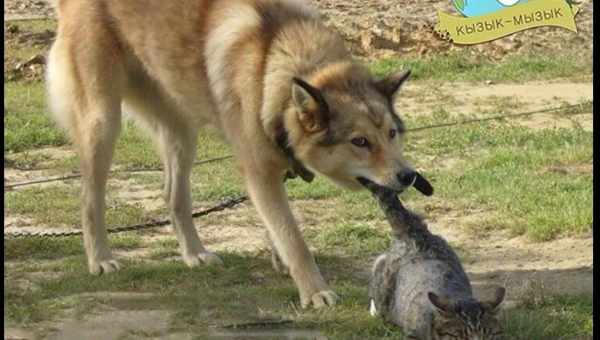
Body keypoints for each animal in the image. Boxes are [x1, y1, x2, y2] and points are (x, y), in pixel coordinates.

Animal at [47, 0, 420, 308]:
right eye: (360, 142)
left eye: (391, 134)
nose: (408, 175)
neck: (276, 63)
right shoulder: (259, 172)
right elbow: (293, 236)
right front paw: (315, 292)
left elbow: (276, 227)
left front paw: (282, 261)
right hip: (103, 123)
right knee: (89, 196)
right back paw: (99, 259)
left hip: (182, 132)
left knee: (173, 196)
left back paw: (195, 254)